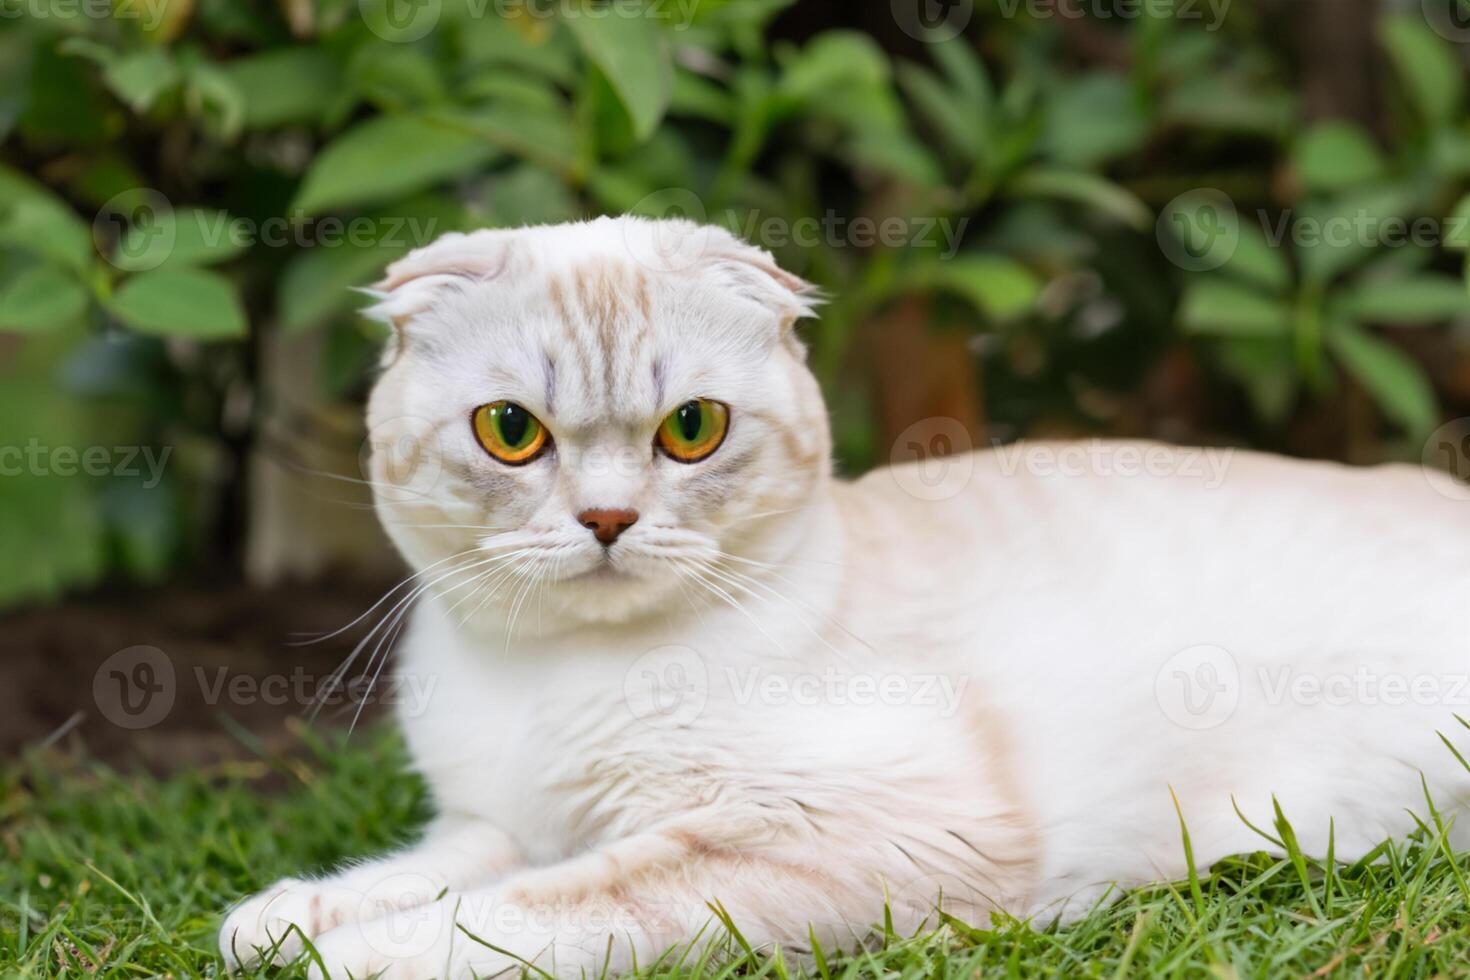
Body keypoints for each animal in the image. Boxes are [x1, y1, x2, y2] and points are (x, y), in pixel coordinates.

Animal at [217, 220, 1470, 980]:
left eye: (692, 429)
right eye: (511, 431)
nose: (608, 519)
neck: (553, 680)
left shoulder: (840, 824)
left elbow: (529, 907)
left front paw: (350, 955)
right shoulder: (503, 820)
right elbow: (429, 870)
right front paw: (283, 916)